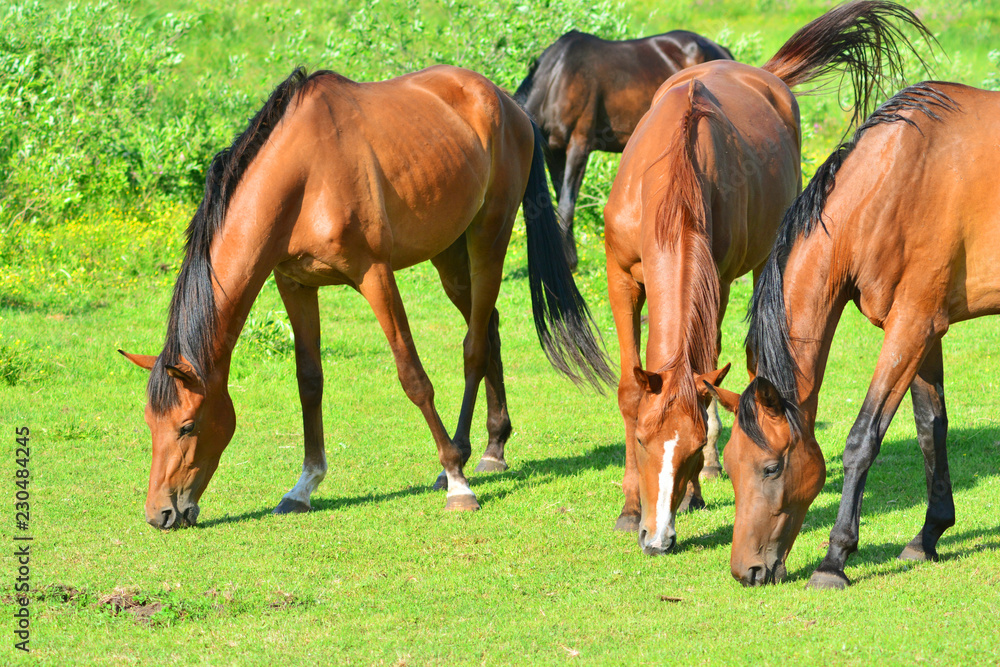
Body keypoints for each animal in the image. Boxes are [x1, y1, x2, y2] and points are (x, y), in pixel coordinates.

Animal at [120, 64, 613, 529]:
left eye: (187, 426)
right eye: (148, 423)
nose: (160, 513)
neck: (304, 176)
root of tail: (507, 102)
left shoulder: (375, 276)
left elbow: (413, 377)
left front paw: (458, 483)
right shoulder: (295, 284)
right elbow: (309, 382)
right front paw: (304, 486)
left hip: (488, 237)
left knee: (474, 347)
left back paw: (462, 460)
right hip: (449, 255)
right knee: (487, 327)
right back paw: (493, 445)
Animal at [602, 0, 931, 555]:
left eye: (690, 447)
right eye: (644, 440)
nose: (659, 538)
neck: (668, 183)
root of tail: (762, 73)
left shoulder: (713, 281)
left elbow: (706, 370)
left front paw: (696, 485)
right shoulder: (620, 276)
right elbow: (629, 388)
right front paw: (628, 511)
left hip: (762, 266)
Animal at [716, 81, 996, 589]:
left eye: (771, 468)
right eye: (728, 466)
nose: (747, 571)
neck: (896, 181)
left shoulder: (911, 328)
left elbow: (862, 439)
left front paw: (834, 559)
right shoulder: (924, 329)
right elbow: (930, 428)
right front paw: (928, 536)